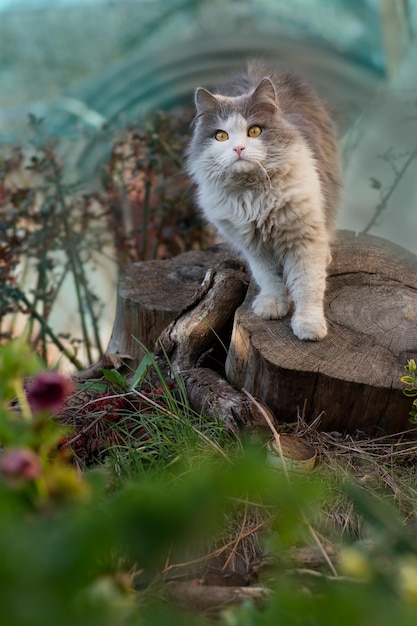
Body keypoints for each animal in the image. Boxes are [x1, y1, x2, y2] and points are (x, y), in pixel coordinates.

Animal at [186, 62, 342, 342]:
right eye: (221, 136)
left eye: (254, 131)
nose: (238, 149)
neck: (252, 195)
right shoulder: (254, 246)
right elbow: (269, 278)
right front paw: (272, 305)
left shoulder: (304, 238)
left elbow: (307, 285)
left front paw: (308, 325)